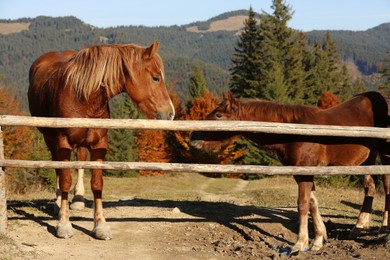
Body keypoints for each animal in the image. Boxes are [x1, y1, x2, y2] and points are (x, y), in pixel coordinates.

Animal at [29, 41, 176, 240]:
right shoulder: (63, 144)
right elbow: (65, 179)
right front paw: (64, 223)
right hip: (50, 139)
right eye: (155, 78)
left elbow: (97, 183)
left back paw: (78, 199)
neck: (83, 97)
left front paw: (100, 225)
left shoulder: (99, 145)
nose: (170, 113)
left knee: (80, 160)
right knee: (58, 168)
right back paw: (59, 203)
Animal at [191, 91, 390, 252]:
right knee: (370, 186)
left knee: (386, 186)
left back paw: (384, 227)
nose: (193, 136)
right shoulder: (300, 173)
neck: (294, 132)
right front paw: (319, 239)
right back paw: (359, 226)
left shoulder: (306, 172)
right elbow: (312, 203)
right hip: (368, 159)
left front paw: (300, 243)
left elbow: (302, 205)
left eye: (218, 115)